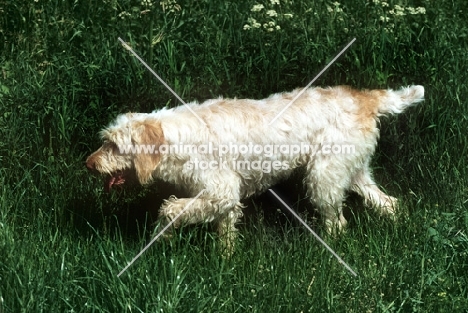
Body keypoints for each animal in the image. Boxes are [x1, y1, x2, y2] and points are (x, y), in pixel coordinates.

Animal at [85, 84, 424, 252]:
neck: (176, 138)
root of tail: (365, 98)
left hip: (323, 179)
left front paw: (163, 239)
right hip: (353, 173)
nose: (88, 164)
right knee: (390, 203)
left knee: (338, 223)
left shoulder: (220, 191)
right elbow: (225, 233)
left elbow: (168, 210)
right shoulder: (223, 200)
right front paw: (226, 262)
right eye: (105, 142)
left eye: (113, 146)